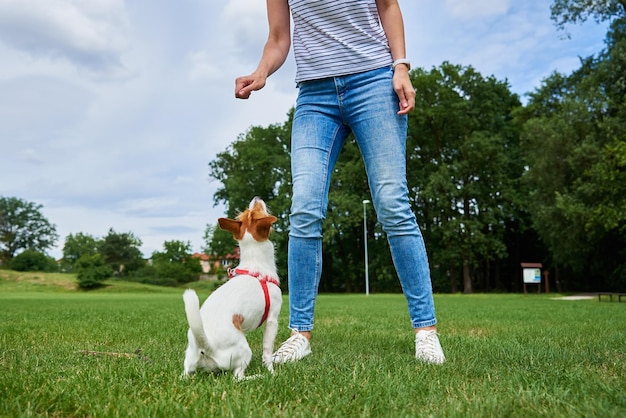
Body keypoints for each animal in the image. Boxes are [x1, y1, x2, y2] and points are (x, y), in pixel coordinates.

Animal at [182, 196, 282, 378]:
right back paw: (258, 376)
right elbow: (267, 350)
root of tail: (205, 345)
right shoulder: (272, 319)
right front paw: (271, 372)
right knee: (237, 377)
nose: (256, 197)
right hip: (245, 351)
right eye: (258, 209)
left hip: (188, 362)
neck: (255, 265)